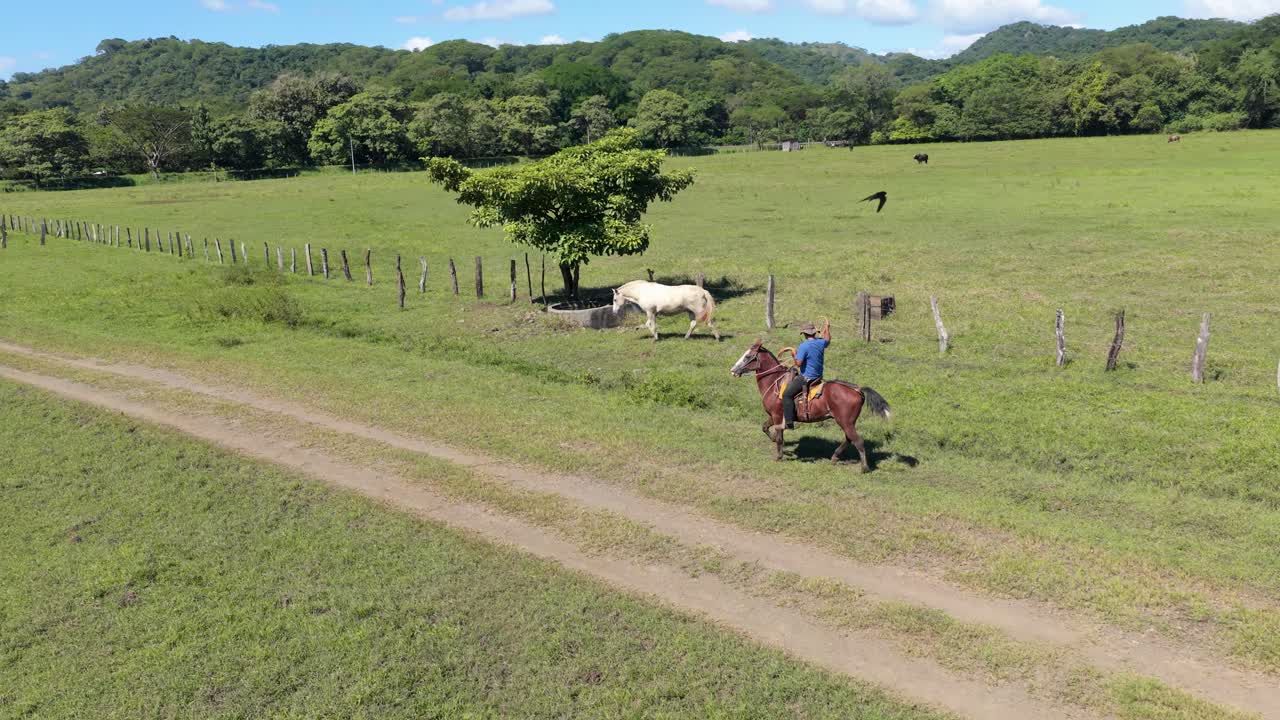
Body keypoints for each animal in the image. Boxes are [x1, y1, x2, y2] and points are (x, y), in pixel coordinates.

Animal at [730, 339, 890, 471]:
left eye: (748, 356)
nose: (733, 370)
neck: (775, 381)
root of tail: (858, 390)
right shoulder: (774, 415)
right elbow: (765, 428)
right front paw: (775, 441)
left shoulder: (777, 415)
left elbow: (779, 435)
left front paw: (779, 456)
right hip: (848, 422)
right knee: (849, 439)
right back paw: (834, 457)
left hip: (845, 421)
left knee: (858, 441)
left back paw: (864, 468)